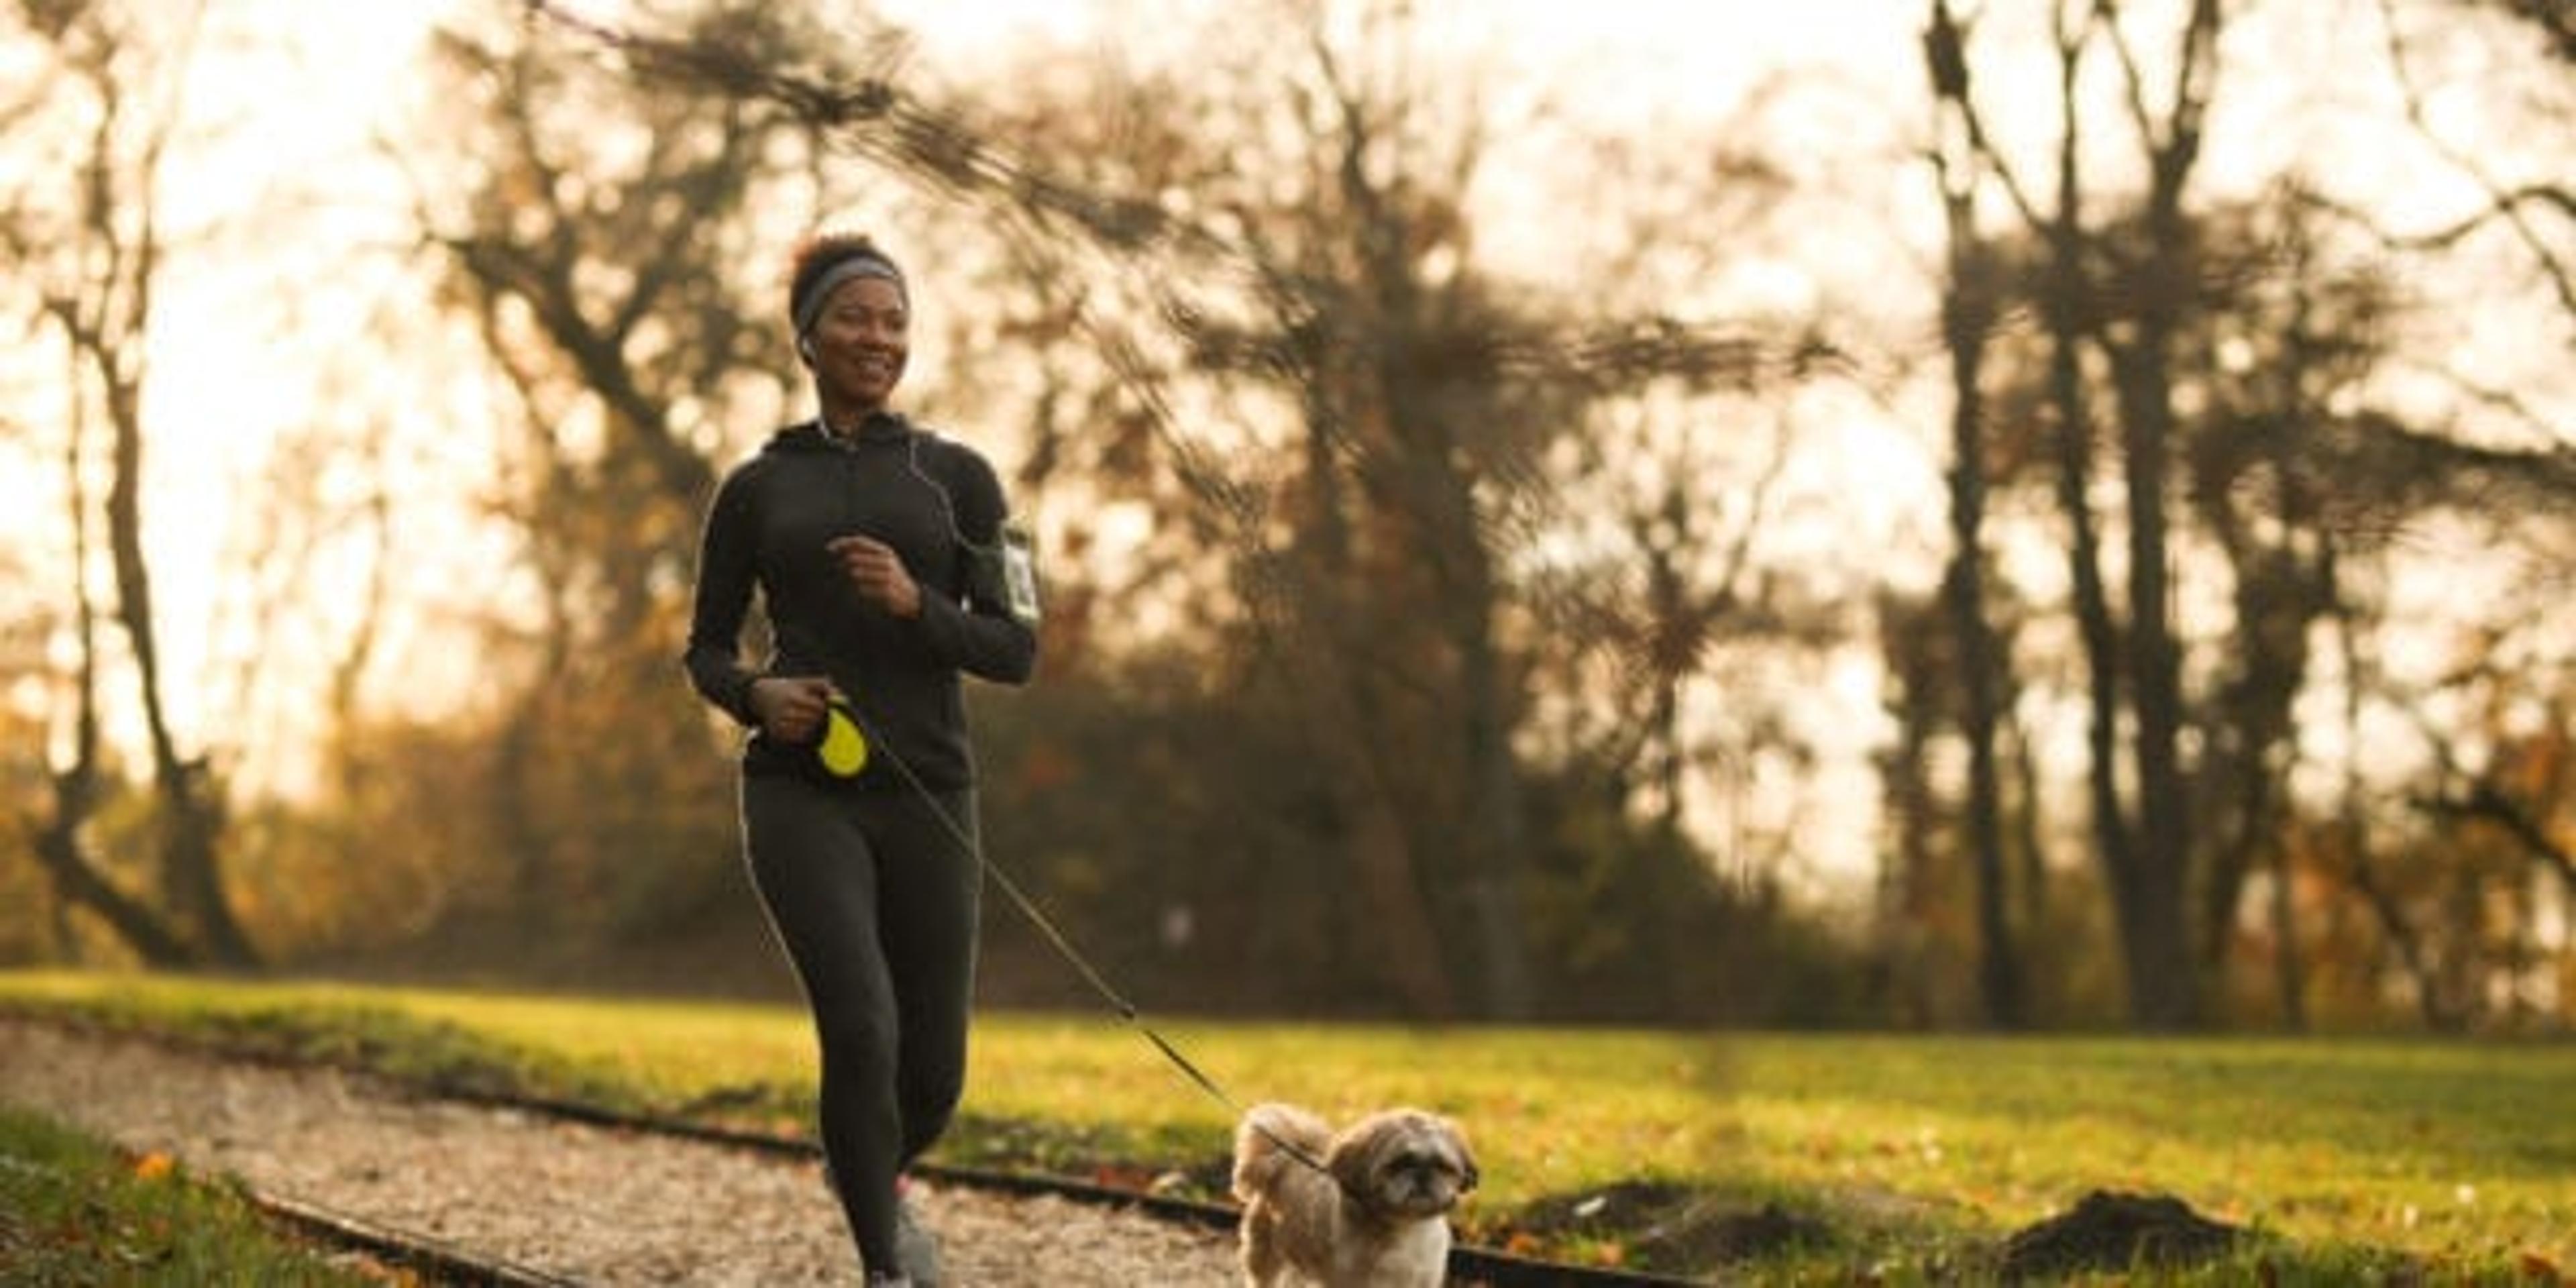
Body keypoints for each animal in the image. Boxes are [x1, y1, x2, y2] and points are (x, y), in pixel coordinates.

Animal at [1226, 1097, 1473, 1288]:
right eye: (1398, 1164)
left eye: (1442, 1166)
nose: (1423, 1173)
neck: (1406, 1227)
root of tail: (1285, 1162)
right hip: (1265, 1256)